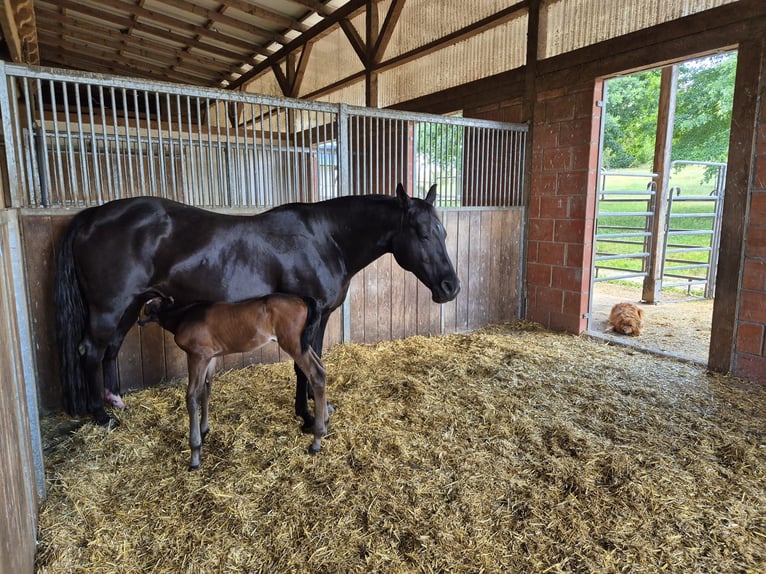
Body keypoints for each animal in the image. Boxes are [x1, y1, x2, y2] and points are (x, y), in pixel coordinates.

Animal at [54, 183, 460, 430]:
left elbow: (313, 362)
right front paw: (307, 416)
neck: (325, 239)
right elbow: (302, 366)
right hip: (109, 307)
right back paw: (101, 416)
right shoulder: (305, 317)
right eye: (422, 234)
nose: (451, 287)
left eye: (443, 231)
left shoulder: (320, 316)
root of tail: (91, 216)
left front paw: (316, 406)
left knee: (110, 349)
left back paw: (116, 401)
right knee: (90, 350)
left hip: (130, 305)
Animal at [138, 292, 328, 469]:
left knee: (316, 374)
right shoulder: (211, 357)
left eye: (147, 308)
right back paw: (324, 425)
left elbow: (192, 396)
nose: (139, 321)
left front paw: (195, 454)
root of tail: (304, 300)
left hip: (293, 344)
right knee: (322, 368)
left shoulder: (197, 356)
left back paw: (316, 441)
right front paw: (204, 431)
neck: (184, 316)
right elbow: (206, 389)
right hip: (303, 345)